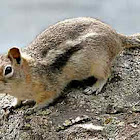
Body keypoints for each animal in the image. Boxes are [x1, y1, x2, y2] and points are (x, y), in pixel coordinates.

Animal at [0, 17, 140, 114]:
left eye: (8, 70)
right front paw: (13, 104)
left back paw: (94, 87)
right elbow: (18, 100)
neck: (29, 72)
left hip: (100, 64)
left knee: (106, 75)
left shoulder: (49, 88)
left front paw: (34, 108)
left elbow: (46, 100)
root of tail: (117, 37)